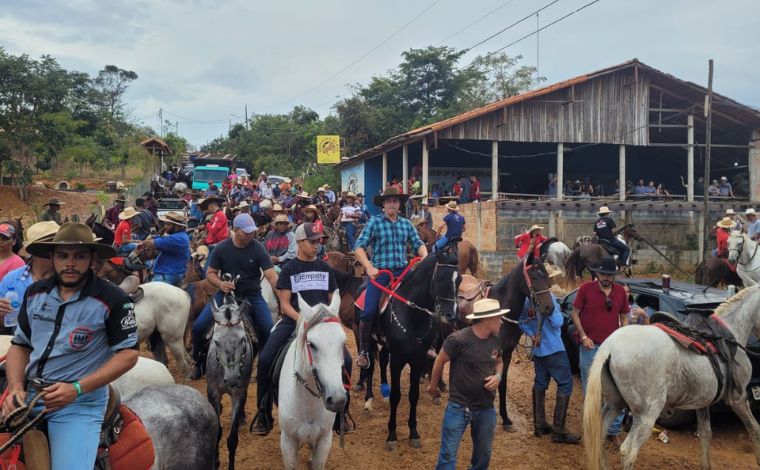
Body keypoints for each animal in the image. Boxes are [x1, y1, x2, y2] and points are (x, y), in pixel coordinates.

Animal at [588, 286, 760, 470]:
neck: (730, 333)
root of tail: (610, 347)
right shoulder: (738, 399)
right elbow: (755, 430)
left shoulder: (702, 402)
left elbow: (706, 434)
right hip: (647, 412)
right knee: (628, 451)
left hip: (615, 403)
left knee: (599, 434)